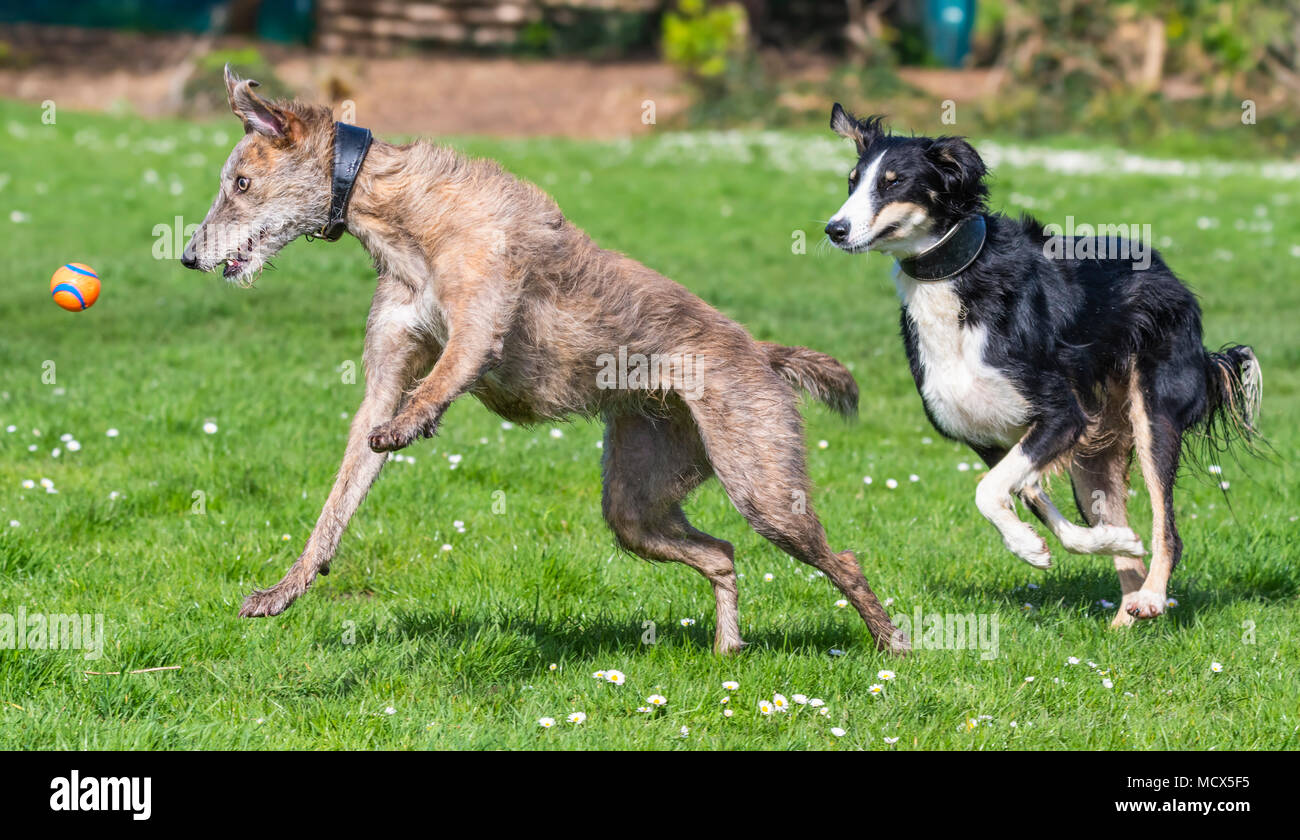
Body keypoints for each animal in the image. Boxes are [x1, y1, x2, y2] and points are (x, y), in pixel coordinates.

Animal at [175, 69, 915, 655]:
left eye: (240, 183)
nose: (186, 256)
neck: (400, 213)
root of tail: (762, 352)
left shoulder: (481, 317)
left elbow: (446, 372)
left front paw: (415, 422)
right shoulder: (387, 372)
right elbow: (338, 500)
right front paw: (286, 587)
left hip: (761, 481)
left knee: (842, 559)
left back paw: (893, 644)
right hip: (638, 498)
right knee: (723, 553)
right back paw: (728, 647)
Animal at [821, 105, 1258, 629]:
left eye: (894, 182)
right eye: (852, 182)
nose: (834, 229)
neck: (958, 280)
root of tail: (1167, 272)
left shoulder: (1061, 415)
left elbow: (987, 491)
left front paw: (1031, 544)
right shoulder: (991, 436)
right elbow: (1029, 500)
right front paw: (1049, 545)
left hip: (1154, 417)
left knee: (1168, 530)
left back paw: (1151, 598)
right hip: (1094, 456)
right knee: (1124, 543)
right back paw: (1124, 619)